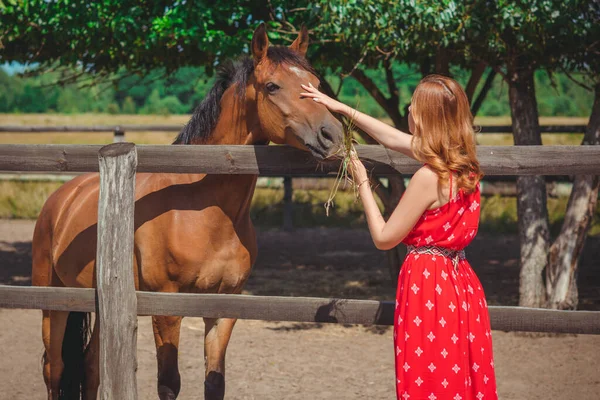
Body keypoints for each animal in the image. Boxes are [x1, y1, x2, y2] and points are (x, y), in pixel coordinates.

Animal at [32, 23, 342, 398]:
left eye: (315, 82)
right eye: (272, 86)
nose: (332, 135)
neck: (201, 210)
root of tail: (62, 197)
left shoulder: (224, 307)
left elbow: (215, 381)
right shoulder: (167, 308)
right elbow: (169, 383)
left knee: (91, 367)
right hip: (53, 302)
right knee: (54, 368)